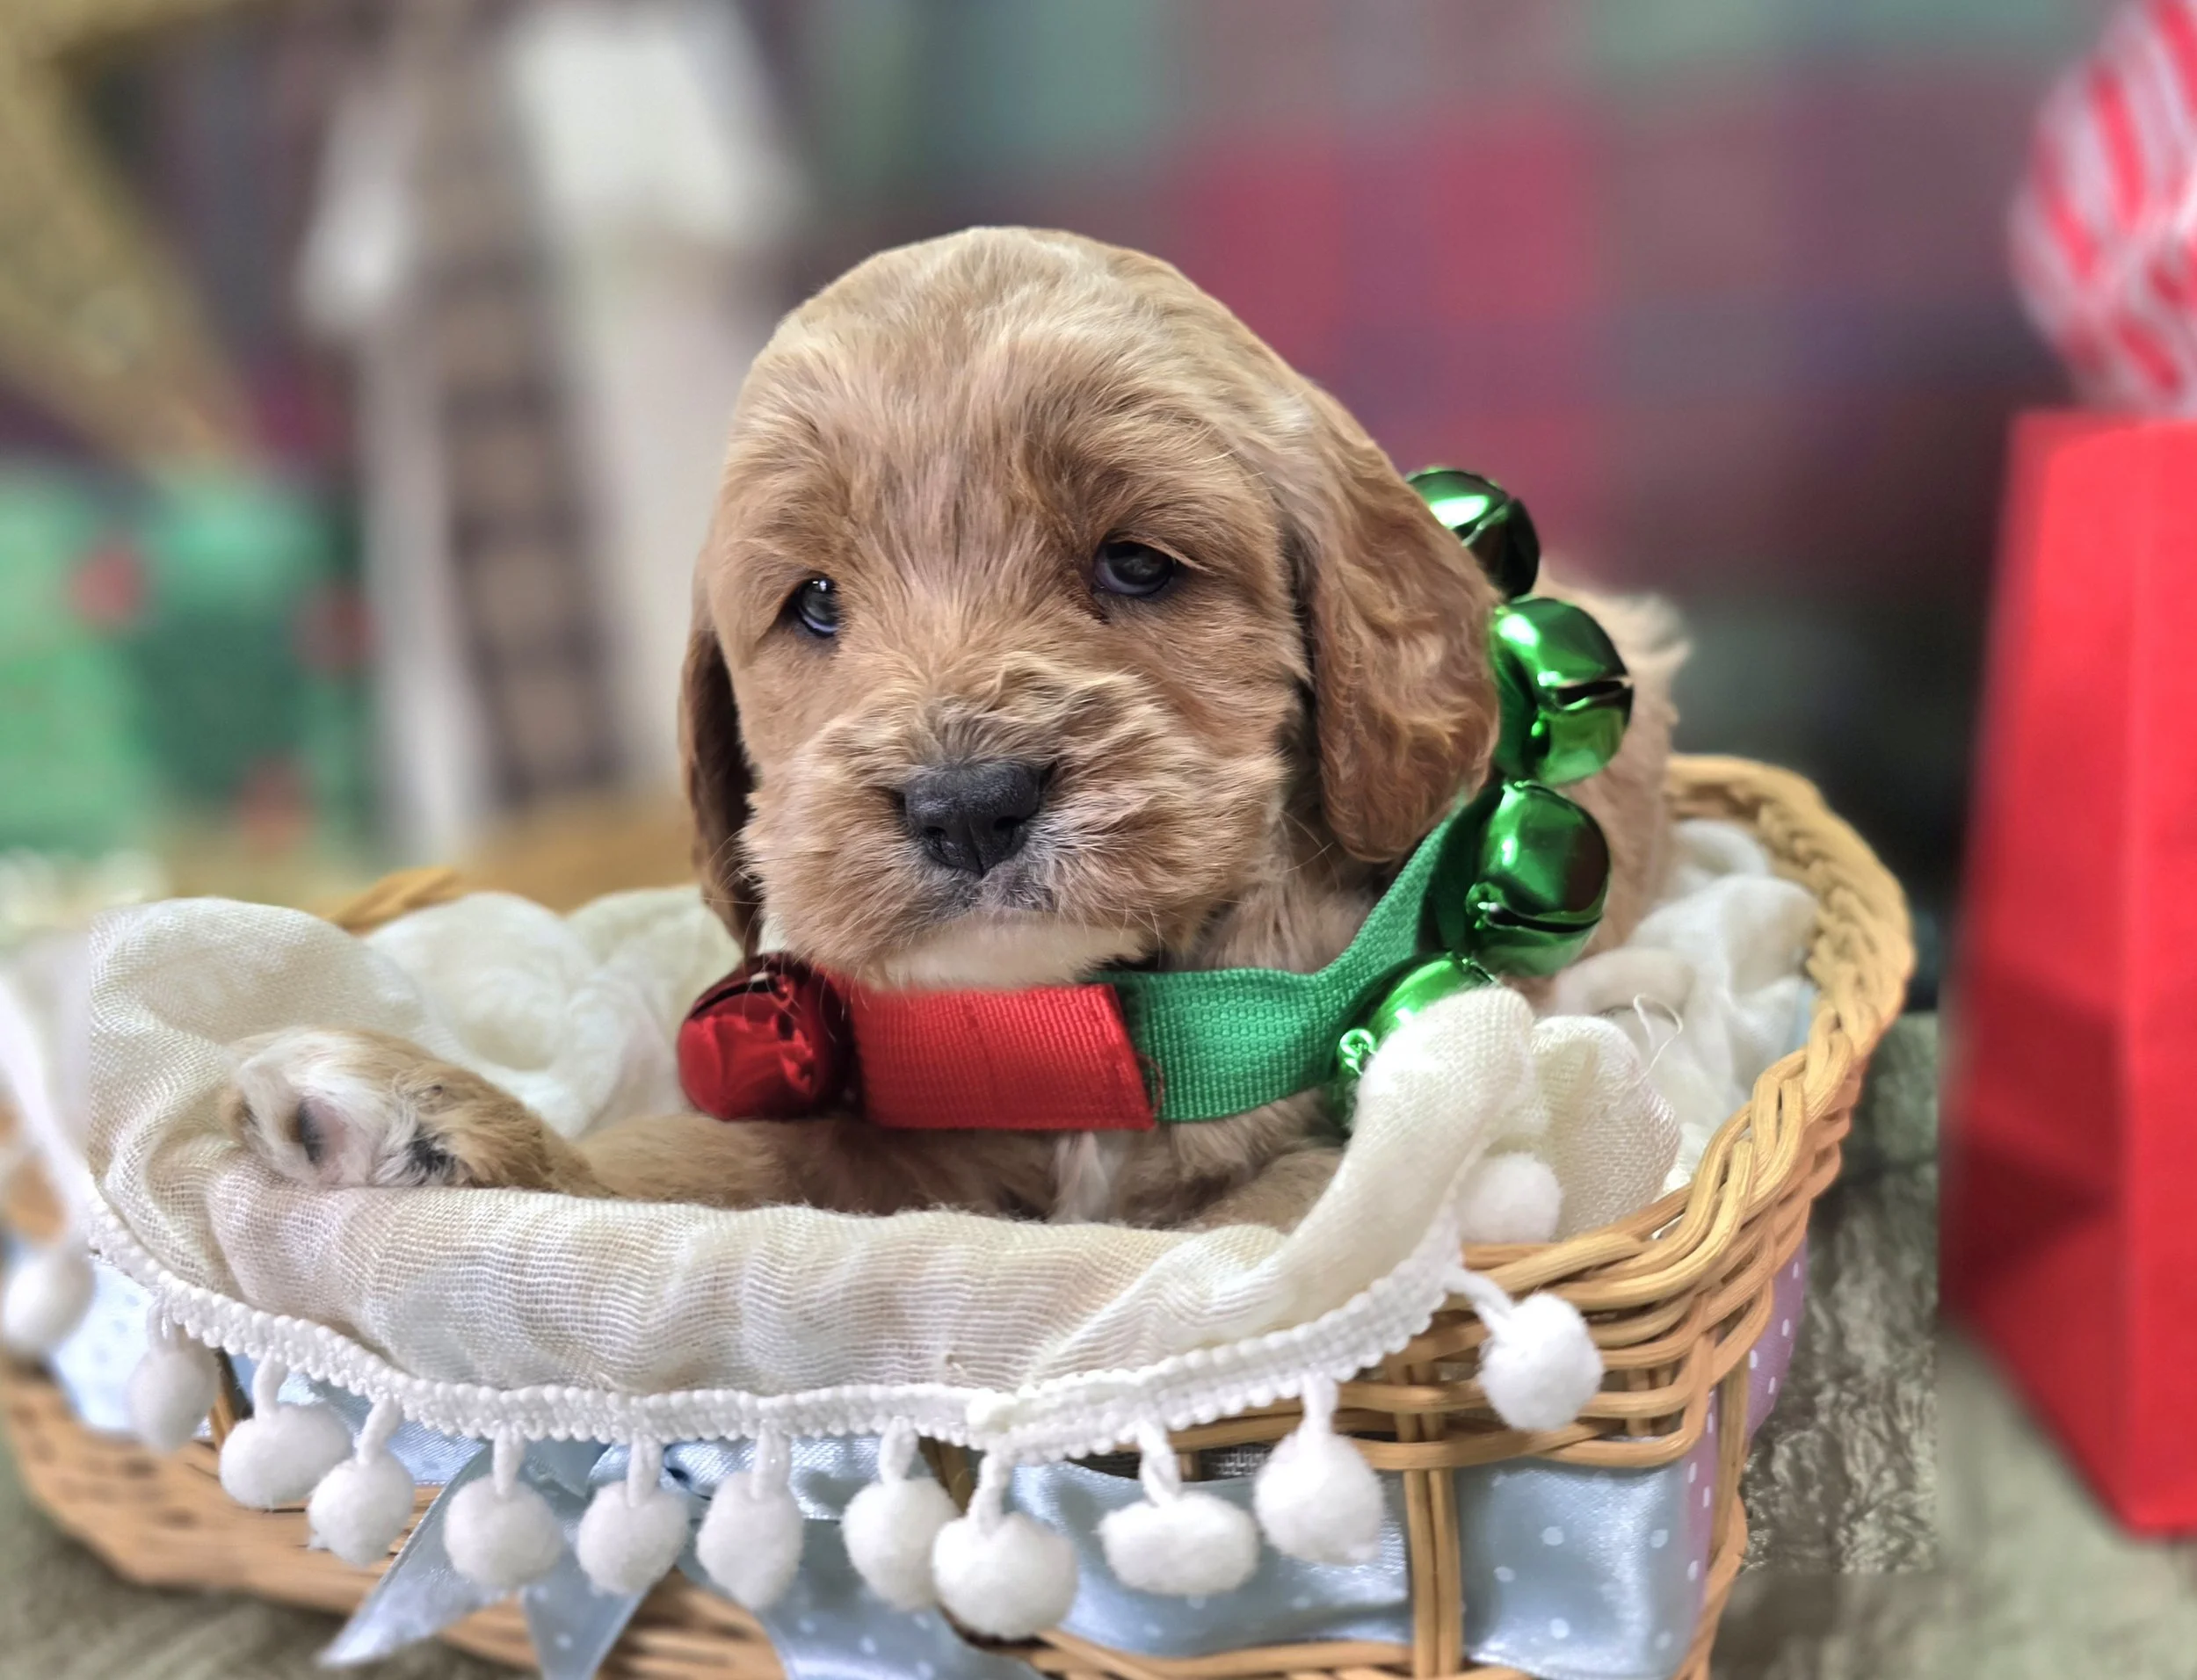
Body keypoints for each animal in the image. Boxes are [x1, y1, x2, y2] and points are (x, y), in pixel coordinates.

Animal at [226, 227, 1679, 1232]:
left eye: (1136, 566)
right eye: (816, 602)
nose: (967, 805)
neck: (1075, 1033)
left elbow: (1273, 1217)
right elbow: (680, 1172)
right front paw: (414, 1117)